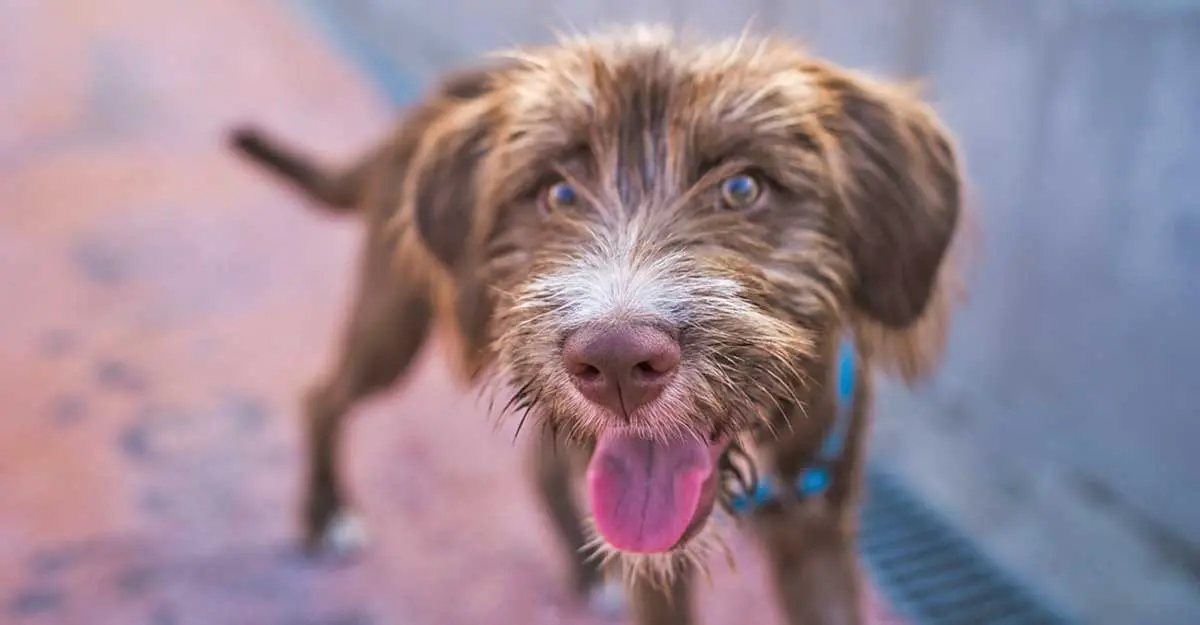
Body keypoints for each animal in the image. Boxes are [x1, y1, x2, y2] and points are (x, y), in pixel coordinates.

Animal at [229, 25, 969, 623]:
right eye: (557, 192)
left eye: (743, 188)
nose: (614, 359)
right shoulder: (663, 570)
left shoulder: (817, 534)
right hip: (393, 323)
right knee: (323, 396)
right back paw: (324, 515)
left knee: (540, 465)